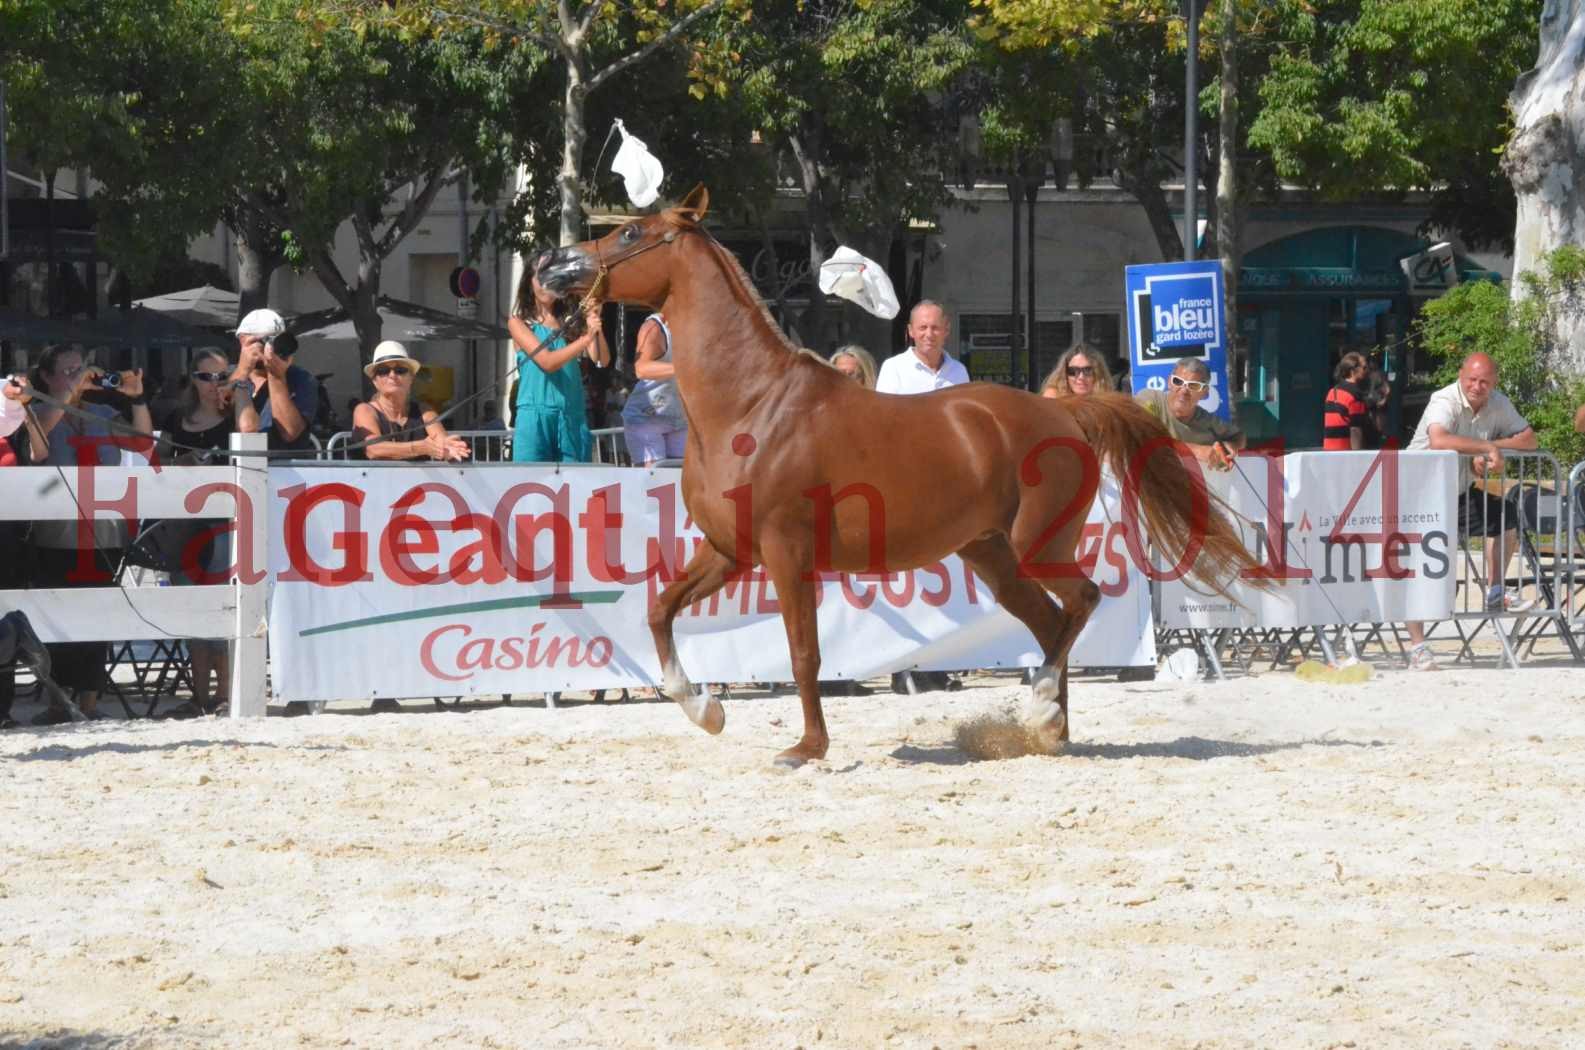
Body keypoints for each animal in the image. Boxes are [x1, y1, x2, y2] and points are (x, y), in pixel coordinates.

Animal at [538, 184, 1255, 770]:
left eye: (630, 233)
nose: (551, 265)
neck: (752, 404)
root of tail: (1063, 410)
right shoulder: (729, 549)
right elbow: (660, 611)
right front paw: (705, 709)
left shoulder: (786, 552)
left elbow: (804, 652)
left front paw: (806, 749)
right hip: (991, 555)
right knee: (1050, 623)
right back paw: (1048, 729)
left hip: (1038, 544)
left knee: (1079, 602)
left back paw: (1044, 705)